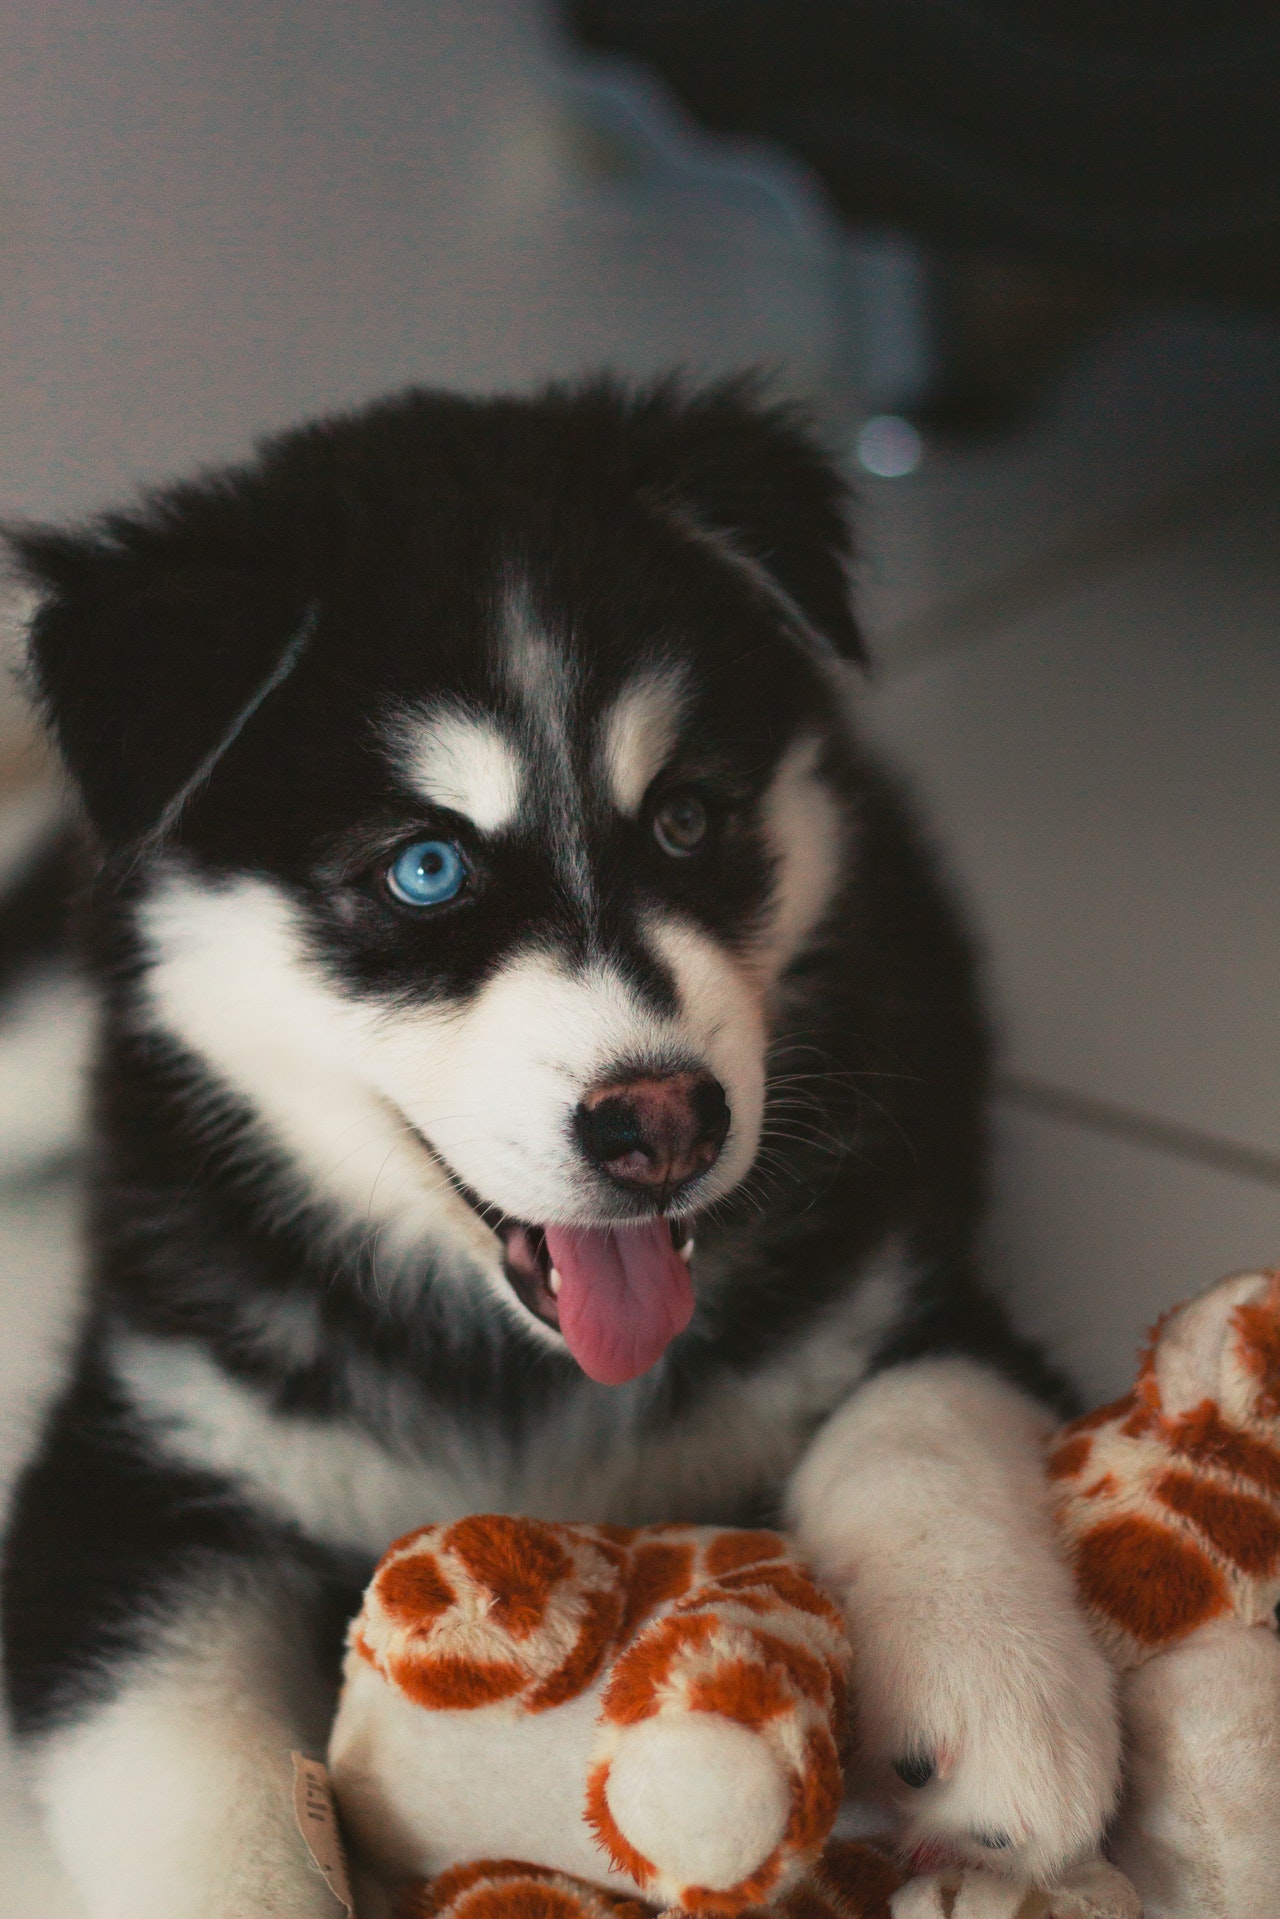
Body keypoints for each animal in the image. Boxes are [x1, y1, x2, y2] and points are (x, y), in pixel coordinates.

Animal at [0, 378, 1113, 1919]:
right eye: (426, 867)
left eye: (690, 817)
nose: (667, 1122)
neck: (524, 1378)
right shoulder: (135, 1459)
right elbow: (188, 1767)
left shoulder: (899, 1272)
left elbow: (922, 1407)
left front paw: (993, 1698)